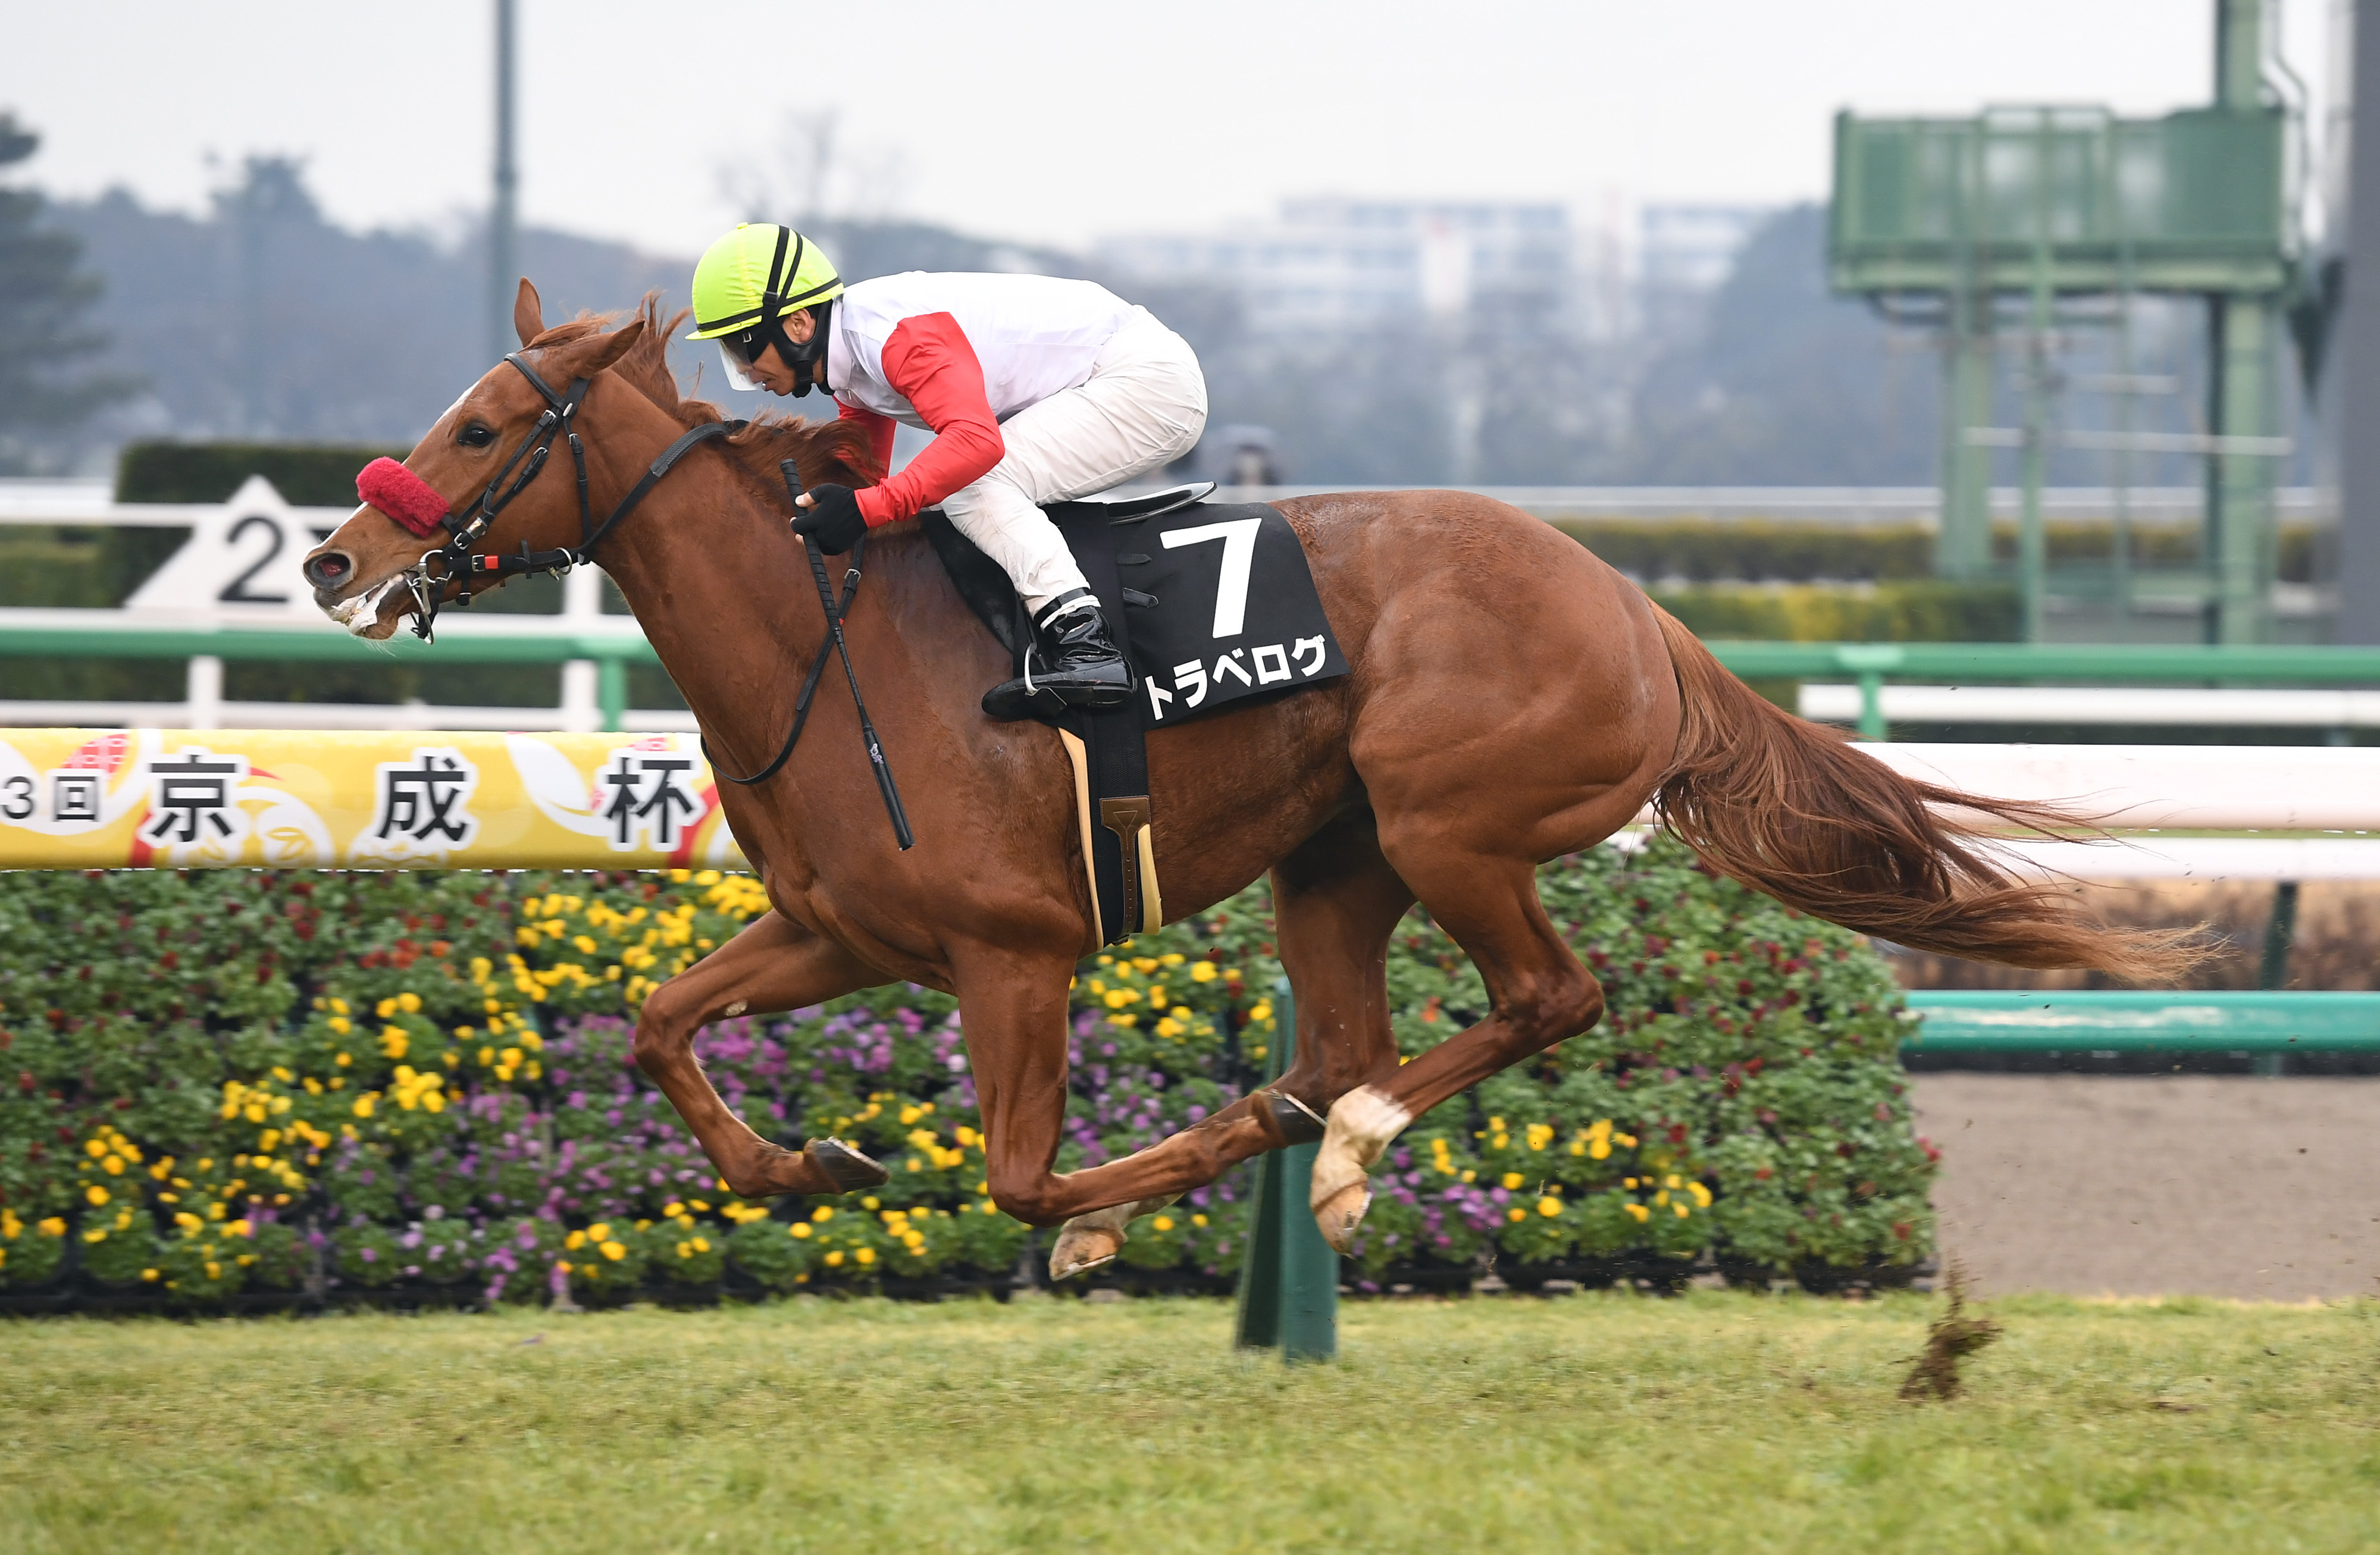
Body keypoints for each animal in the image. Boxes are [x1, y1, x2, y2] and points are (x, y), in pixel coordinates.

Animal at [302, 289, 2180, 1284]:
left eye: (485, 428)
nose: (334, 556)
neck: (822, 633)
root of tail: (1633, 603)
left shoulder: (1014, 950)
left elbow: (1025, 1178)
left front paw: (1143, 1189)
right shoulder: (846, 929)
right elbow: (656, 1021)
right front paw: (801, 1159)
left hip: (1447, 820)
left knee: (1541, 996)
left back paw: (1336, 1148)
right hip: (1332, 859)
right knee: (1362, 1030)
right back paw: (1319, 1131)